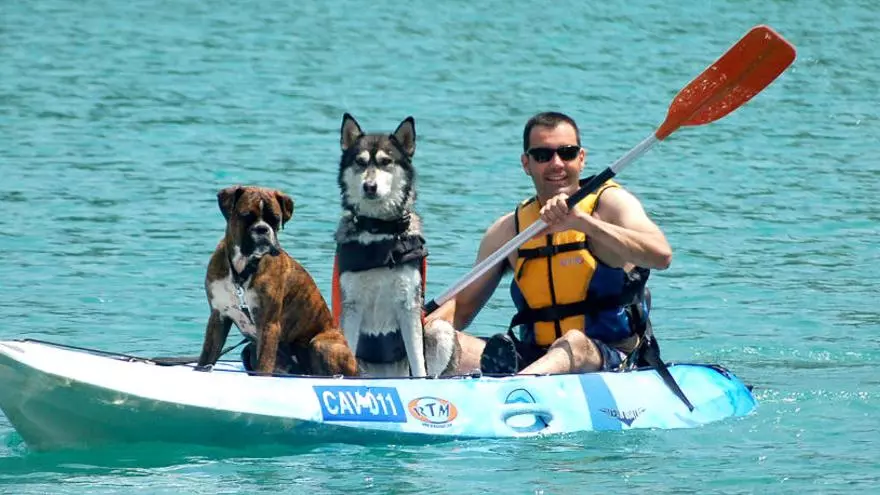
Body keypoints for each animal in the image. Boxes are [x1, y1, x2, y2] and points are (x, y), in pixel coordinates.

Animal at [197, 185, 357, 376]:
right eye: (246, 216)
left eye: (275, 219)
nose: (262, 229)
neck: (242, 270)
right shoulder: (218, 317)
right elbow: (207, 357)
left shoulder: (268, 324)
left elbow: (263, 366)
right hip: (250, 350)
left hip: (322, 344)